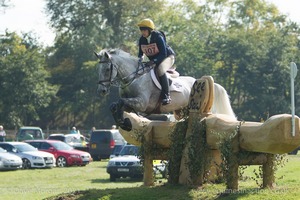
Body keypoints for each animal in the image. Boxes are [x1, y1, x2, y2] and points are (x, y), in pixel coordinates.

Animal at [95, 47, 236, 130]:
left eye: (107, 69)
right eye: (98, 69)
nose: (101, 91)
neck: (134, 78)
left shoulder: (141, 103)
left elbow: (119, 102)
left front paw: (125, 123)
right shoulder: (131, 104)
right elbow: (115, 105)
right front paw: (123, 123)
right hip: (182, 111)